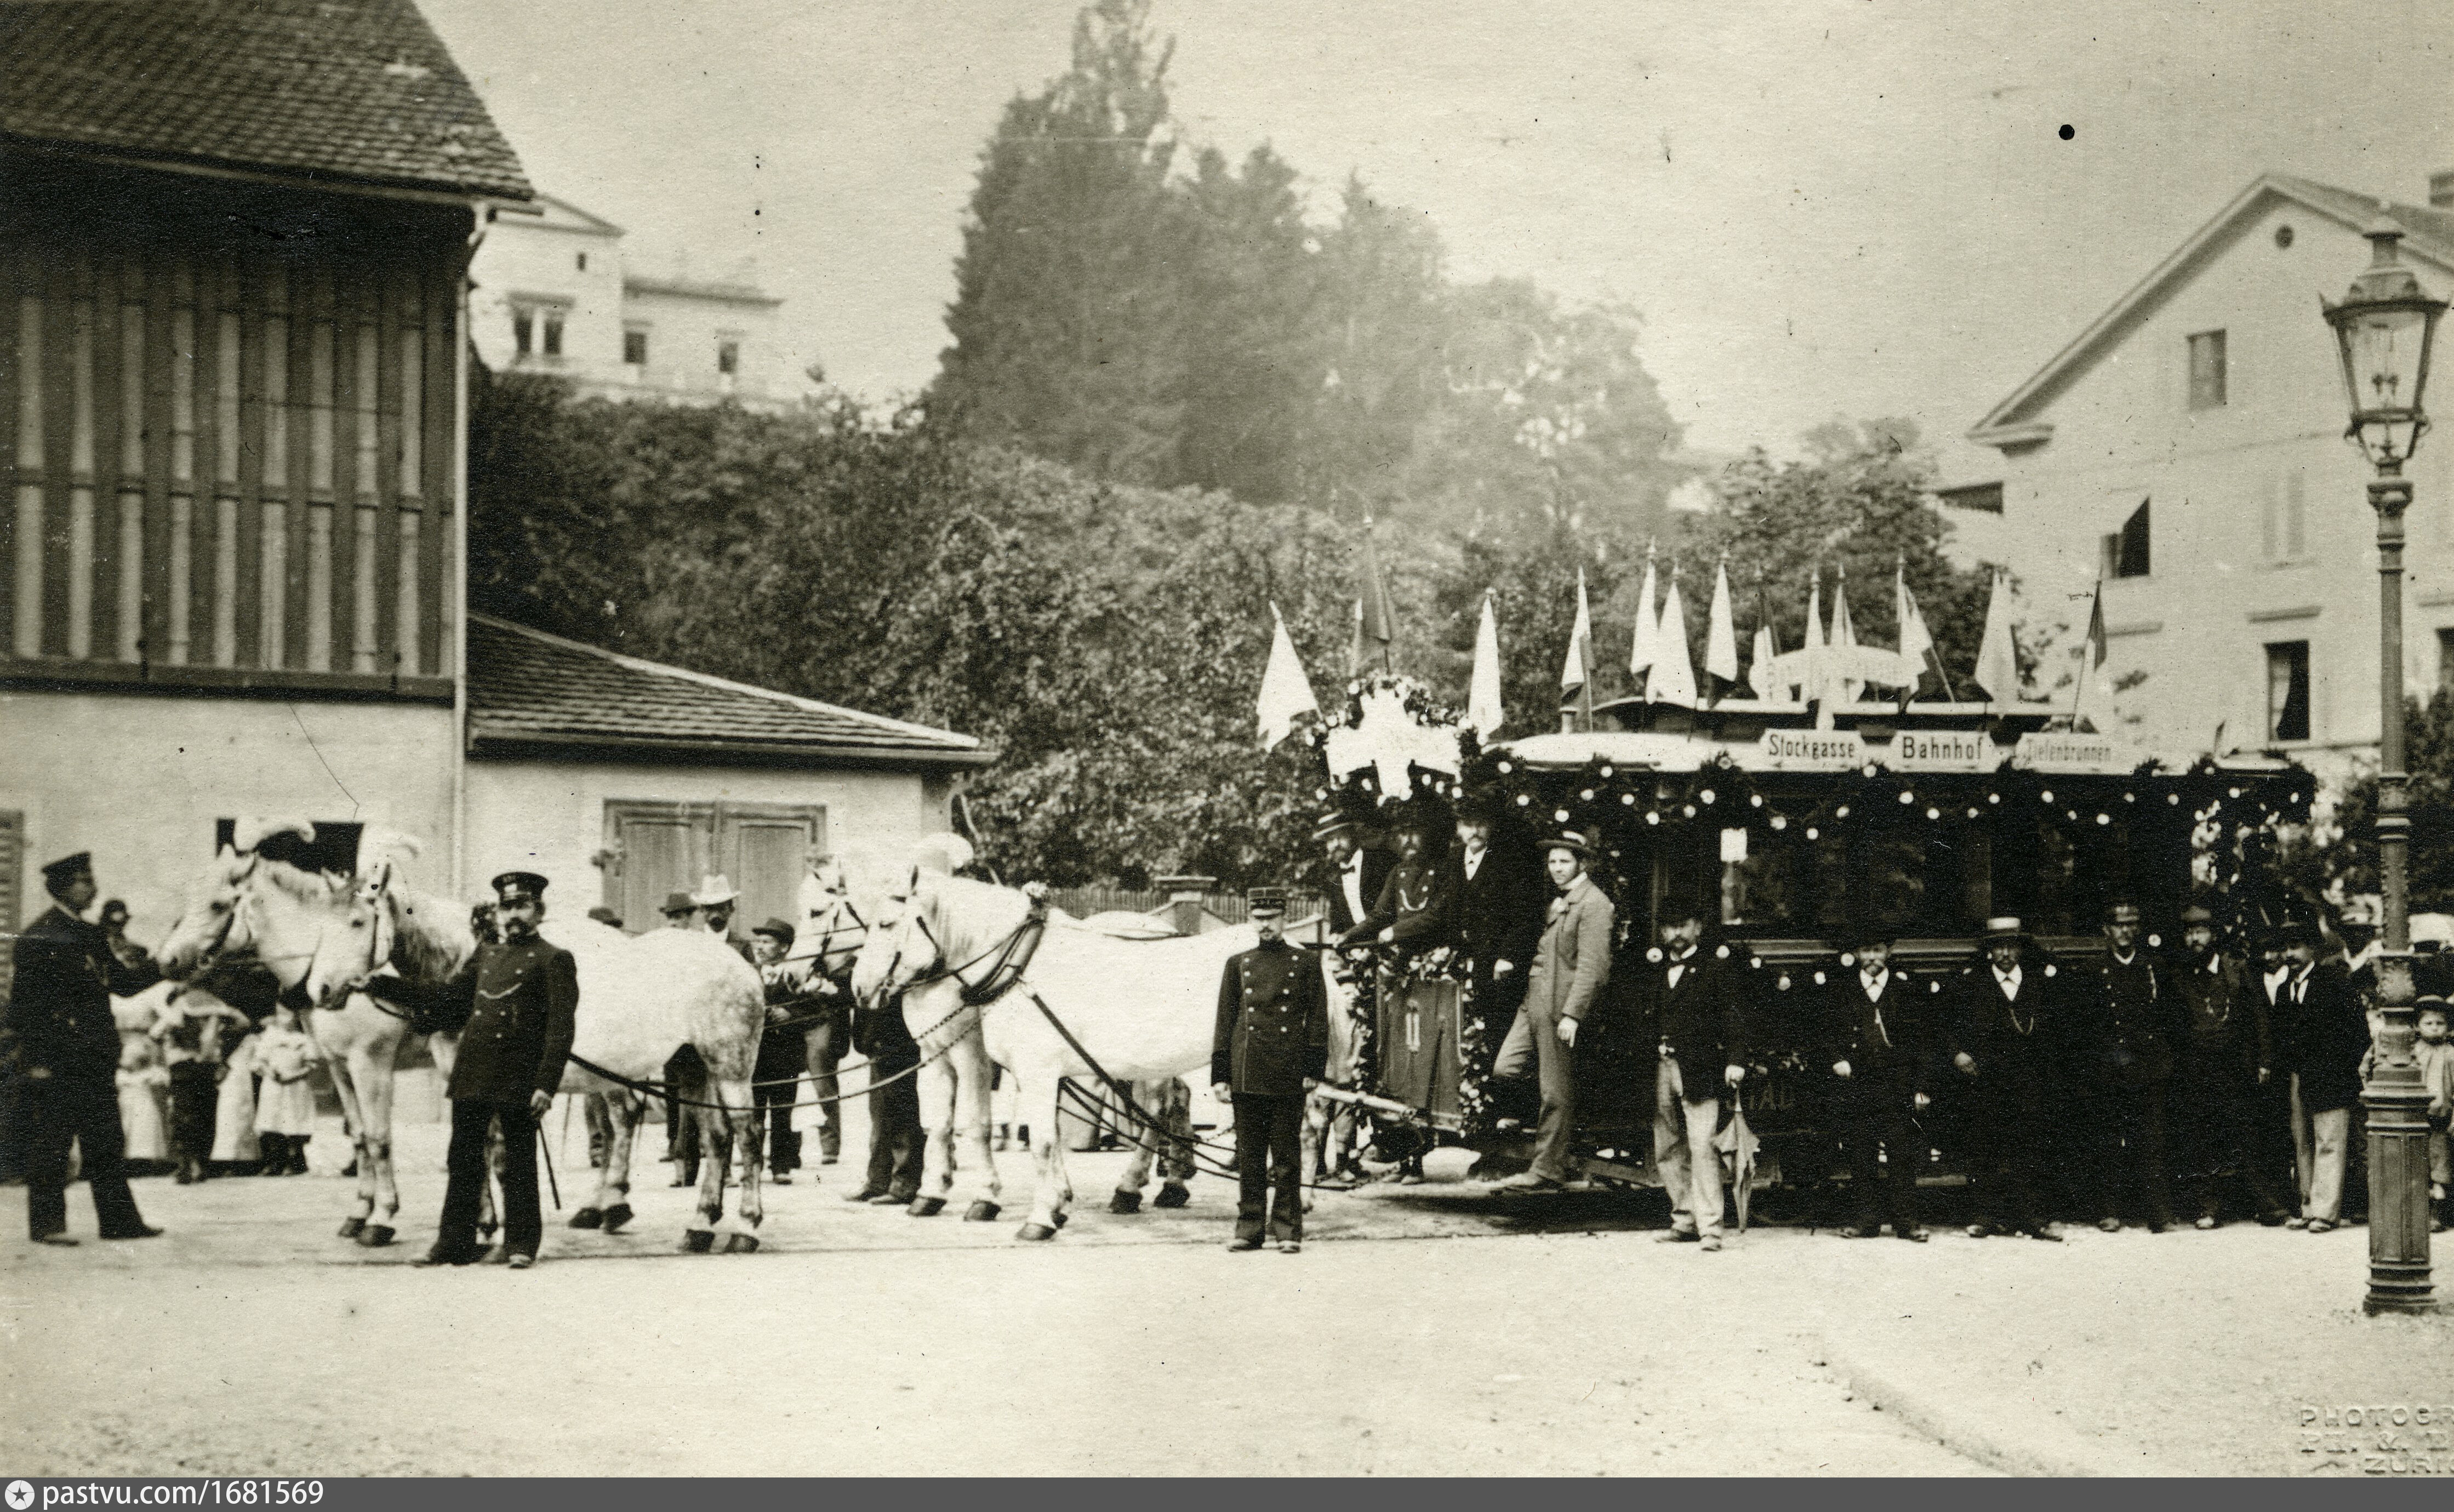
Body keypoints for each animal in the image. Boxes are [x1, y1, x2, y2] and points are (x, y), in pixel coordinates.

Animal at [301, 847, 771, 1253]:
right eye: (322, 923)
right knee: (715, 1137)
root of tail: (740, 964)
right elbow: (477, 1148)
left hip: (730, 1067)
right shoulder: (459, 1074)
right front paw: (482, 1226)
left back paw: (744, 1227)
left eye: (358, 922)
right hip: (691, 1067)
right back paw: (699, 1225)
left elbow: (489, 1153)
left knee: (746, 1135)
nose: (318, 990)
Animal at [853, 861, 1256, 1240]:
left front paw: (1030, 1214)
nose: (860, 989)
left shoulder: (1001, 1062)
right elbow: (946, 1126)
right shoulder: (941, 1055)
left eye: (887, 924)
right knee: (1167, 1105)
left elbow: (1024, 1138)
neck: (1017, 965)